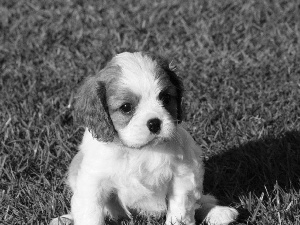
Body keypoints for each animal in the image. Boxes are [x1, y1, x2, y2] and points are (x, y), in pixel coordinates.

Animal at [61, 51, 238, 224]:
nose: (155, 123)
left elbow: (180, 210)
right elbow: (90, 213)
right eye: (126, 107)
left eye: (166, 98)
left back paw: (218, 213)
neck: (139, 150)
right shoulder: (93, 183)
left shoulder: (184, 175)